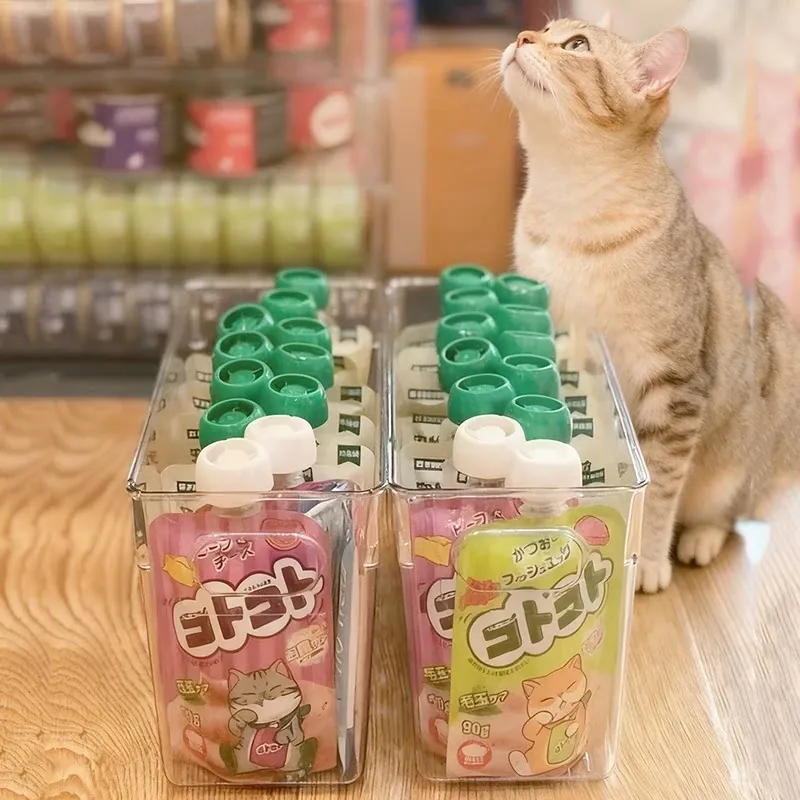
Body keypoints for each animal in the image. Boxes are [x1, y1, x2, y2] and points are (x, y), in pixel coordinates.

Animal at [501, 18, 800, 592]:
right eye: (546, 28)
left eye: (576, 45)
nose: (523, 36)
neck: (570, 210)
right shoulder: (569, 343)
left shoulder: (675, 387)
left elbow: (660, 486)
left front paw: (649, 559)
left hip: (730, 472)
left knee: (730, 513)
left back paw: (700, 538)